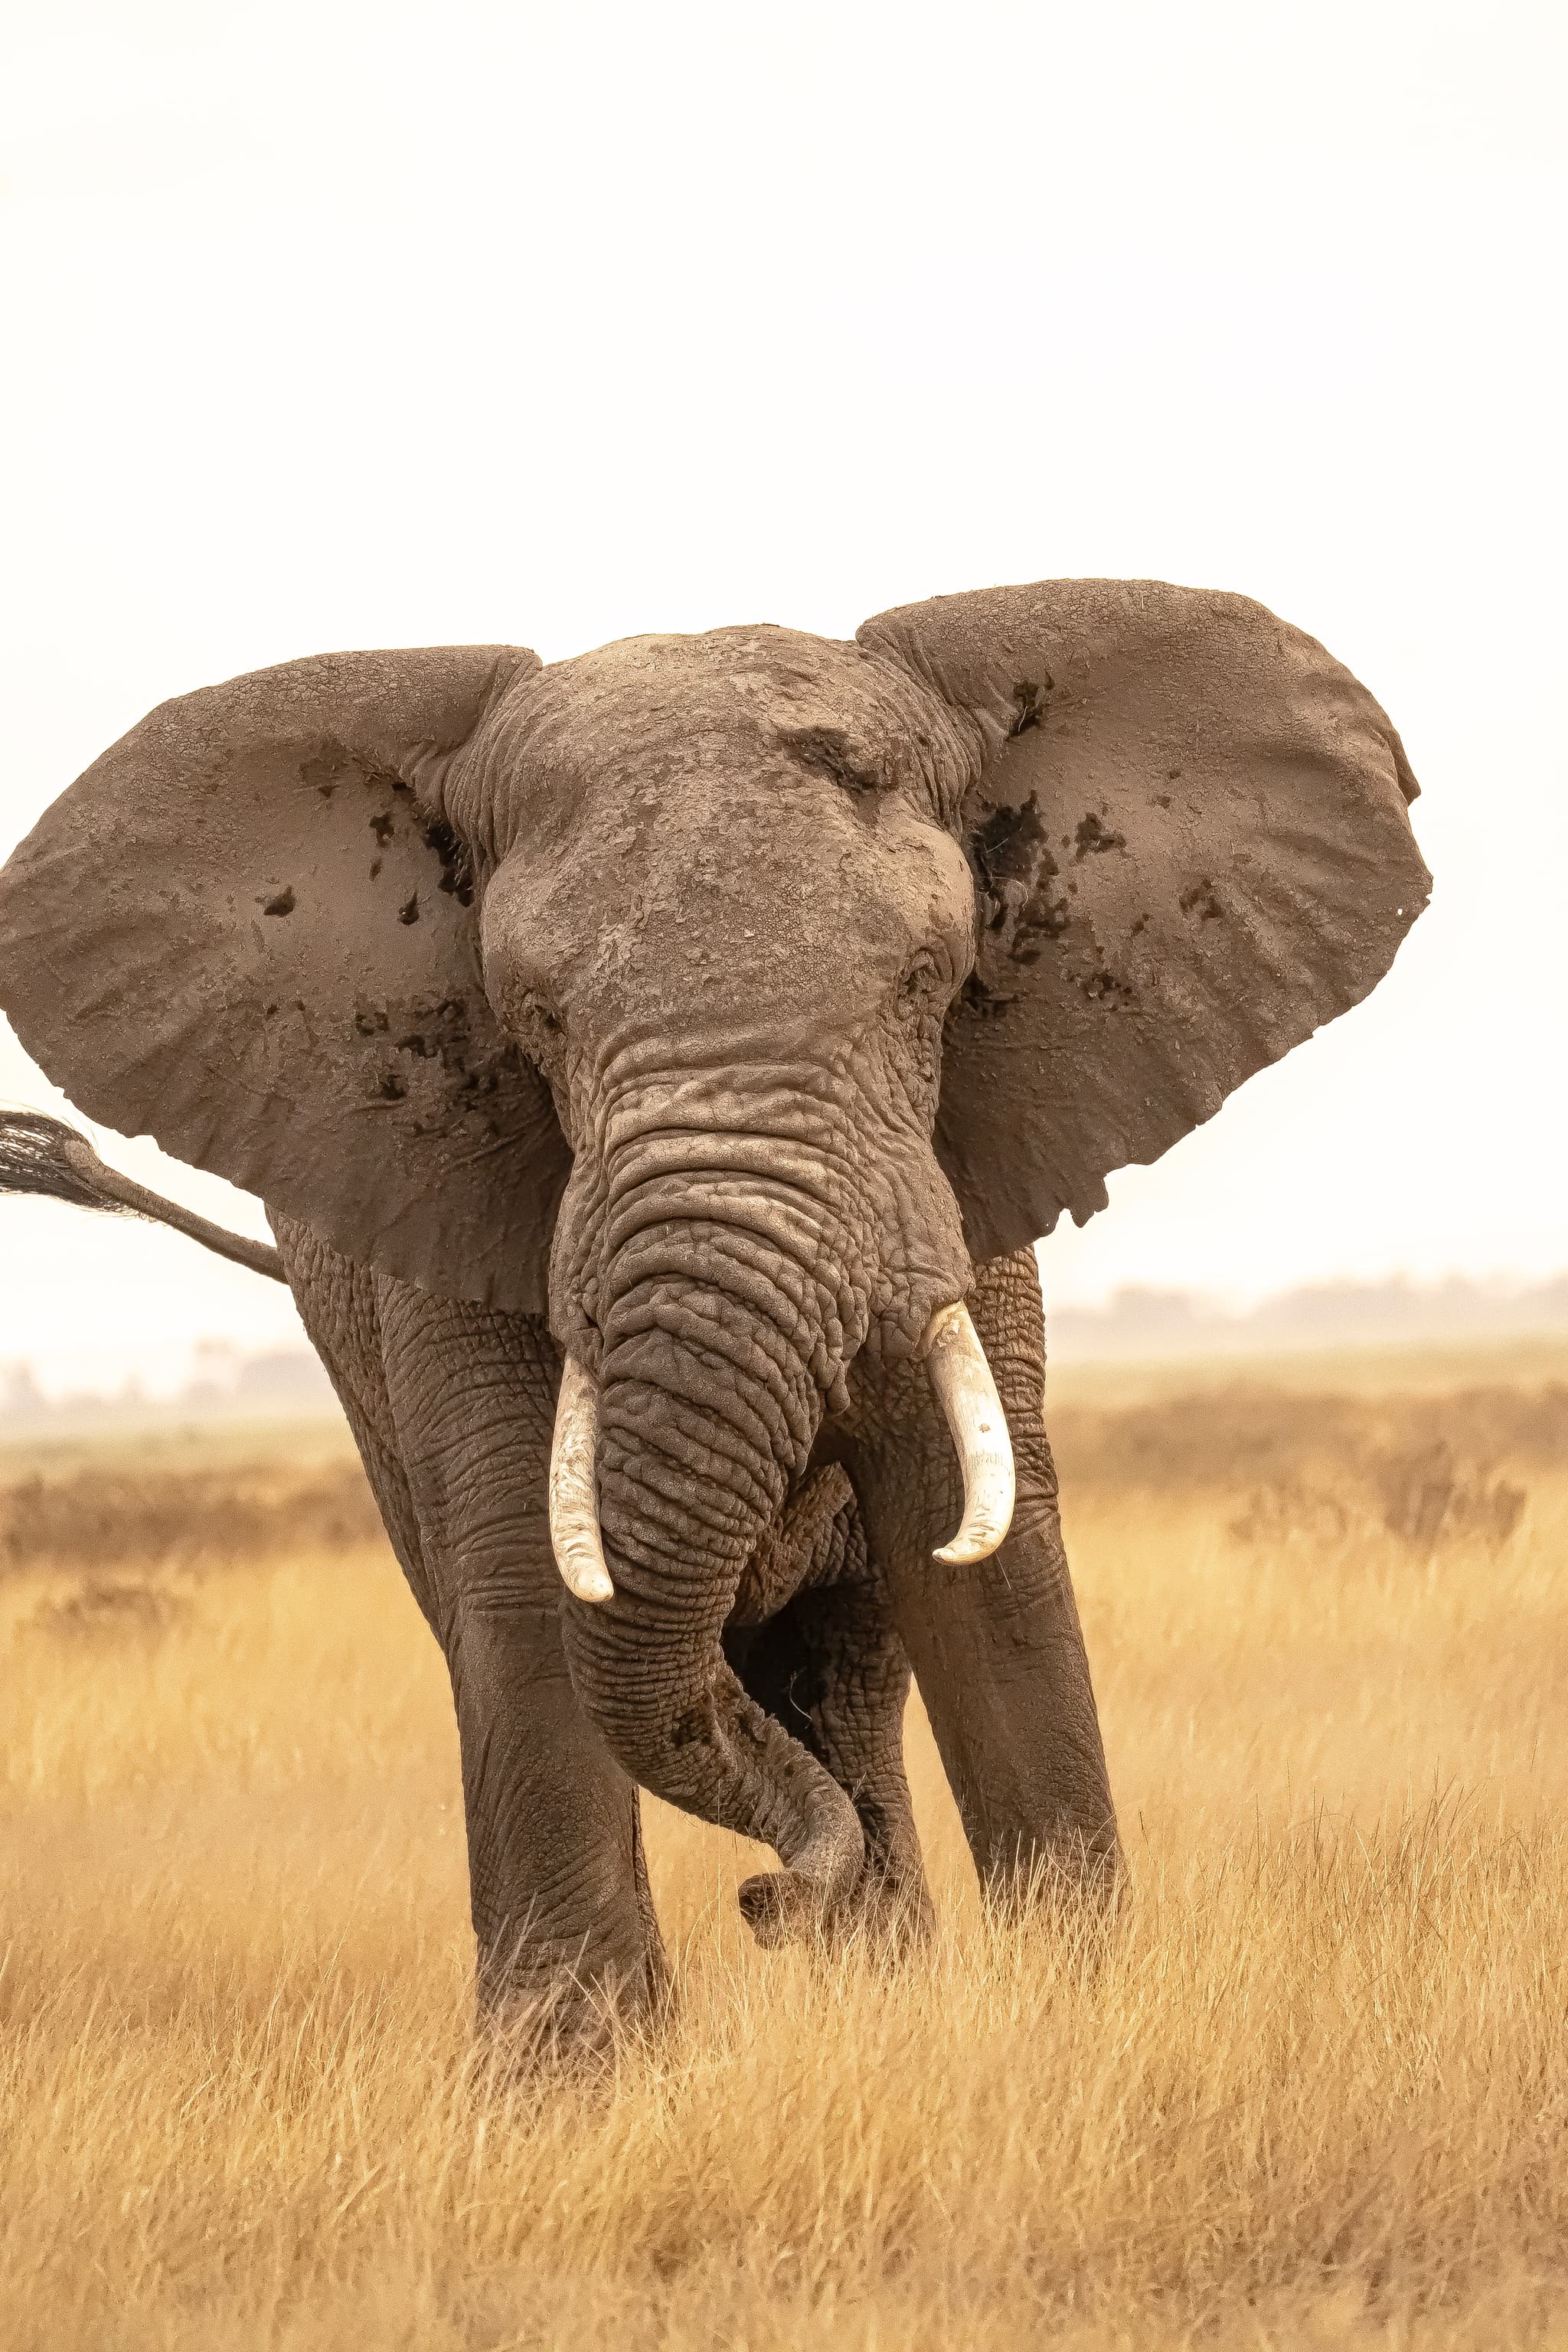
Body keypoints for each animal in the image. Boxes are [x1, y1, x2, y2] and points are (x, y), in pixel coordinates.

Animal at [0, 579, 1429, 2042]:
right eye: (534, 1017)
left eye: (930, 977)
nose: (763, 1902)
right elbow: (521, 1565)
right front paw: (574, 2078)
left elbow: (981, 1547)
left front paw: (1071, 2011)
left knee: (841, 1681)